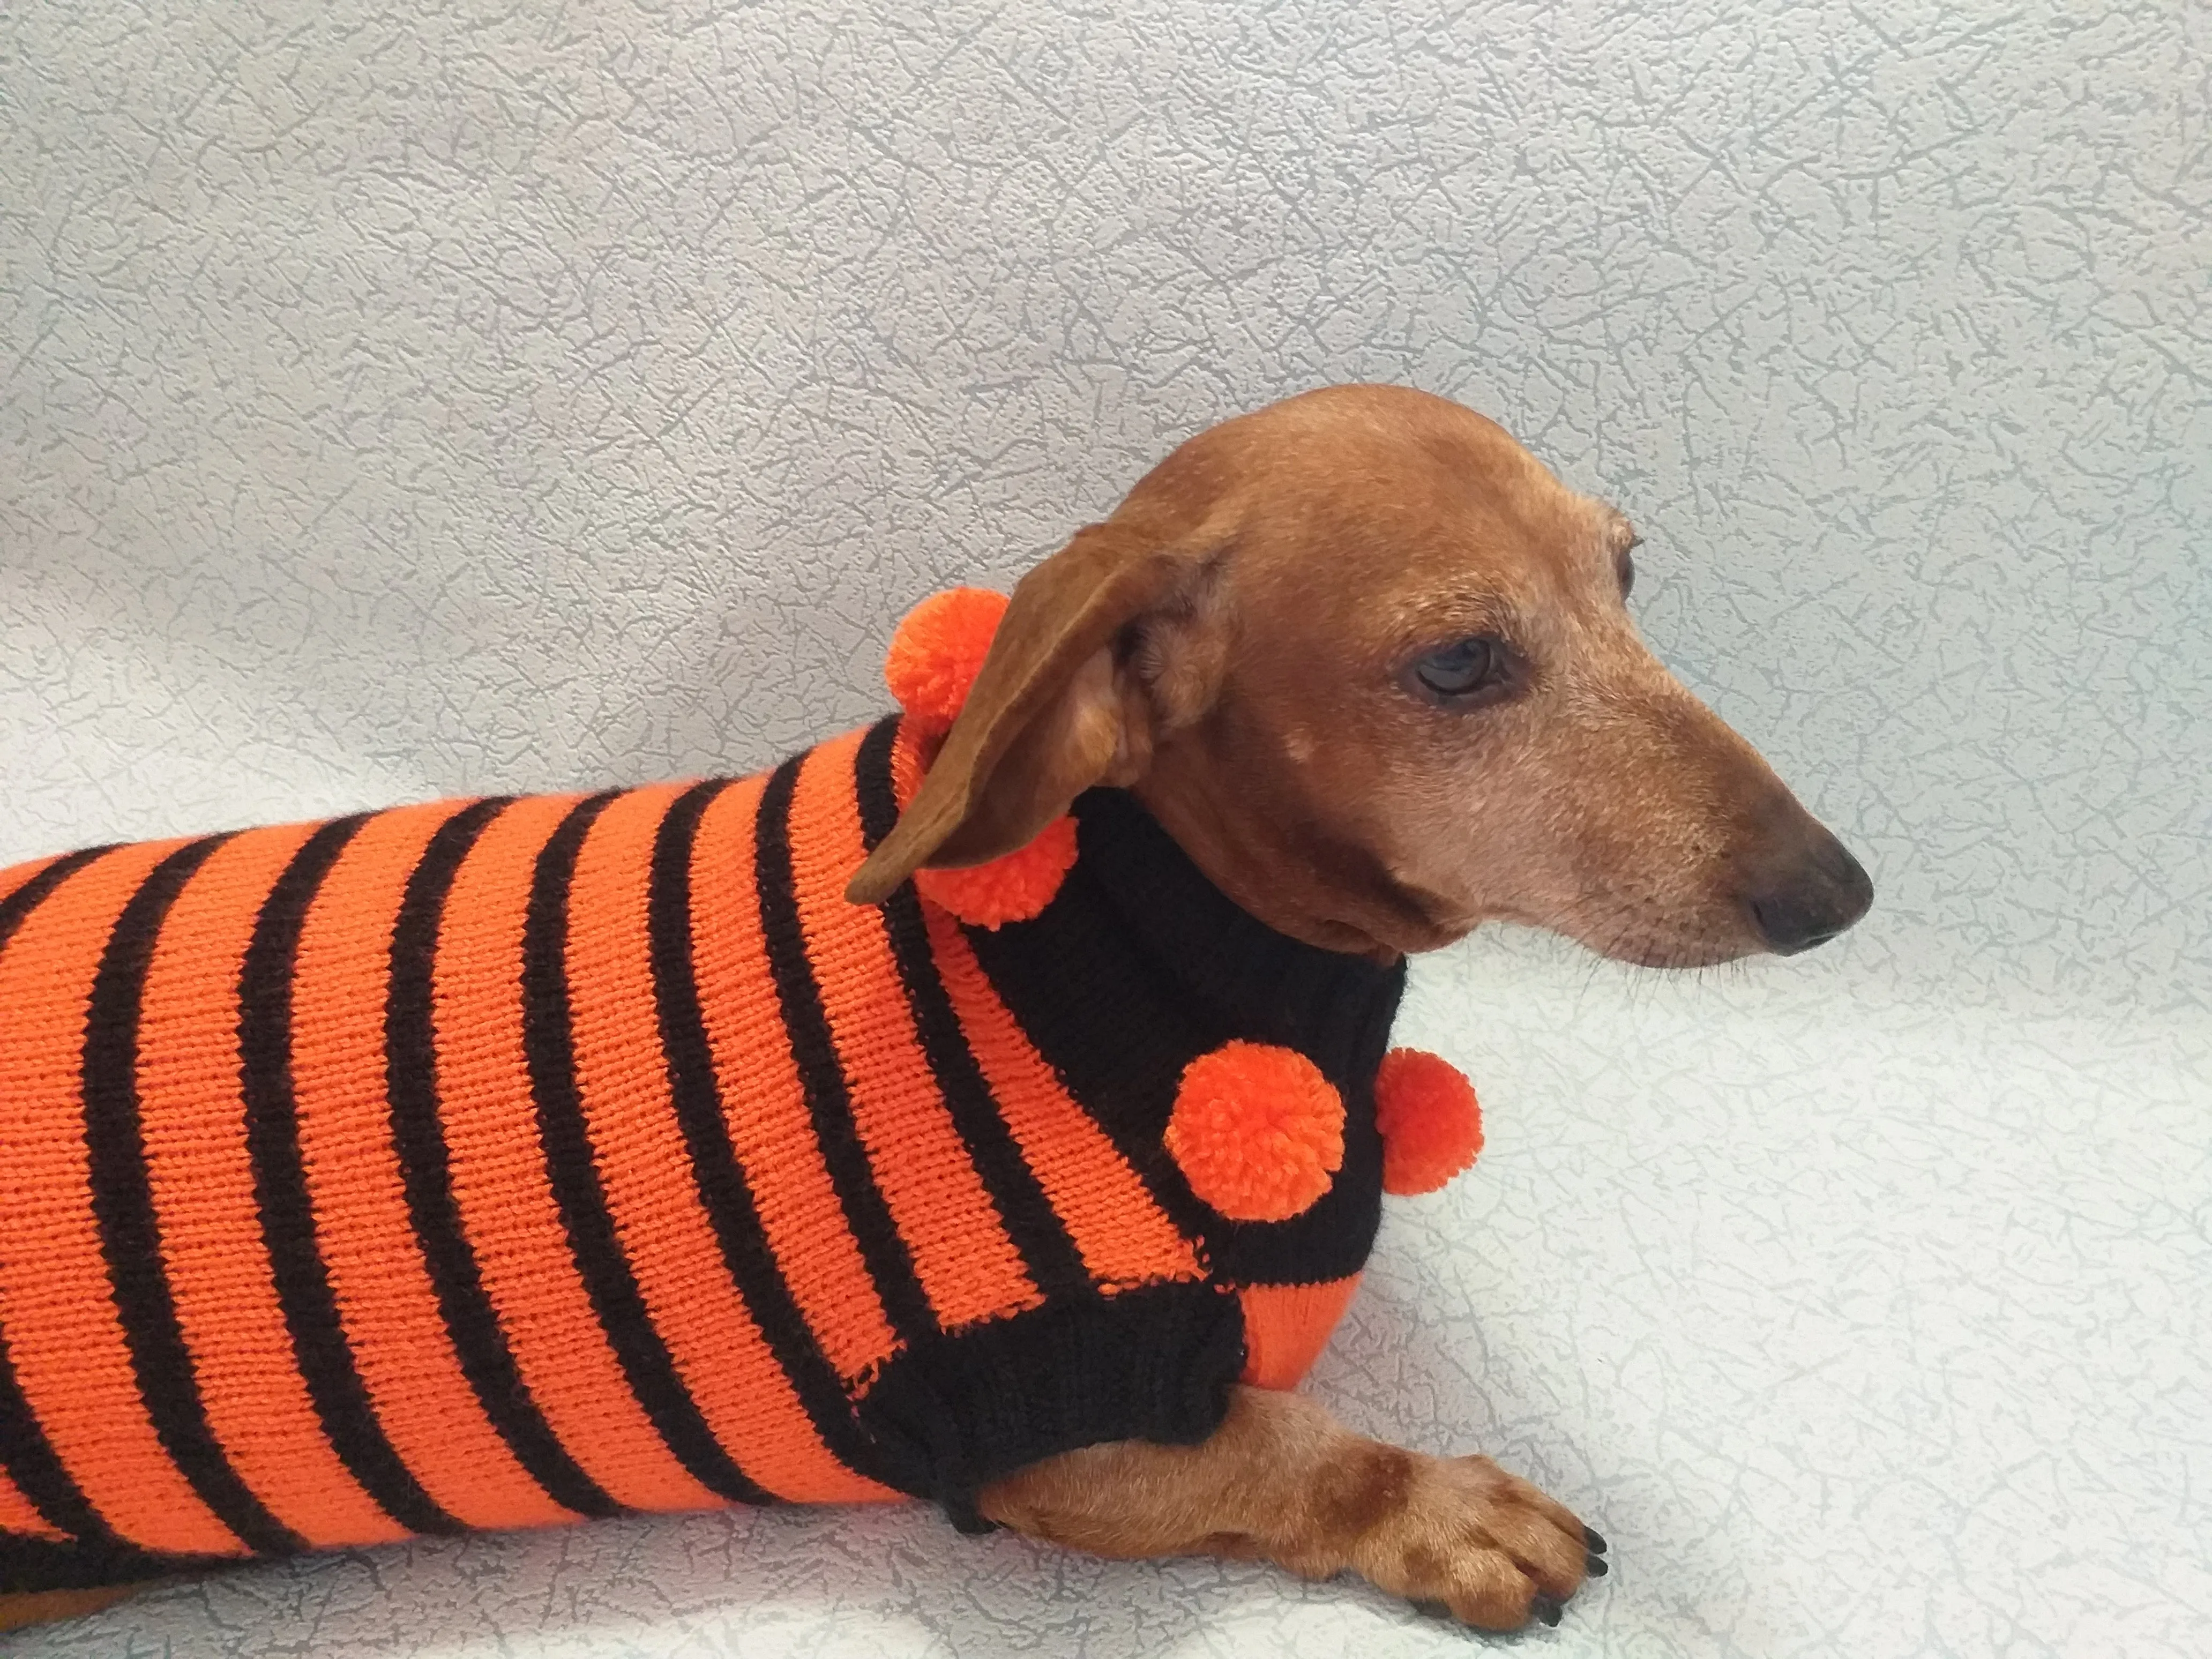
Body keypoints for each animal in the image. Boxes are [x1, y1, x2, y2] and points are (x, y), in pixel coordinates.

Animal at [0, 383, 1867, 1646]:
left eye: (1628, 577)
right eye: (1461, 665)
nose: (1835, 891)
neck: (1138, 932)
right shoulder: (1051, 1431)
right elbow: (1292, 1451)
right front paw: (1439, 1508)